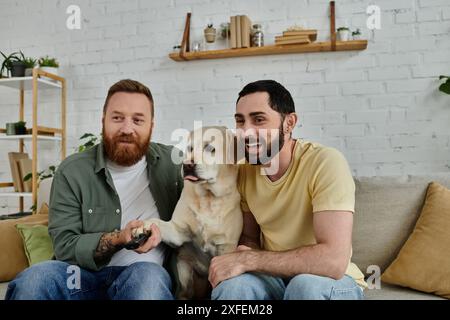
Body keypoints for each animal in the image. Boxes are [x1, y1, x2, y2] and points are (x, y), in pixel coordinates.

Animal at [133, 126, 243, 298]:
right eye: (190, 148)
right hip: (184, 270)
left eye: (210, 148)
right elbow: (156, 222)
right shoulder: (177, 232)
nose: (187, 165)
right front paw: (143, 226)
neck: (208, 198)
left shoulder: (226, 247)